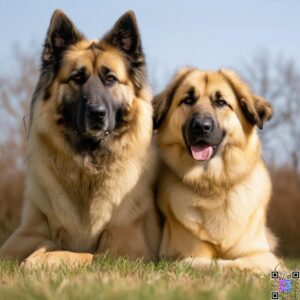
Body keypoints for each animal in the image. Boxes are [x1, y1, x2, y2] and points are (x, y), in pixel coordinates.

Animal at [0, 9, 162, 268]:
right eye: (77, 78)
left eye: (110, 78)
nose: (97, 113)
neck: (89, 165)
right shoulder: (23, 237)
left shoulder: (126, 251)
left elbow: (77, 254)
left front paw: (40, 260)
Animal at [154, 67, 284, 274]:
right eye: (188, 100)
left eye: (221, 102)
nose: (201, 127)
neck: (215, 184)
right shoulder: (190, 251)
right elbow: (205, 262)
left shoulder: (262, 254)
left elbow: (237, 262)